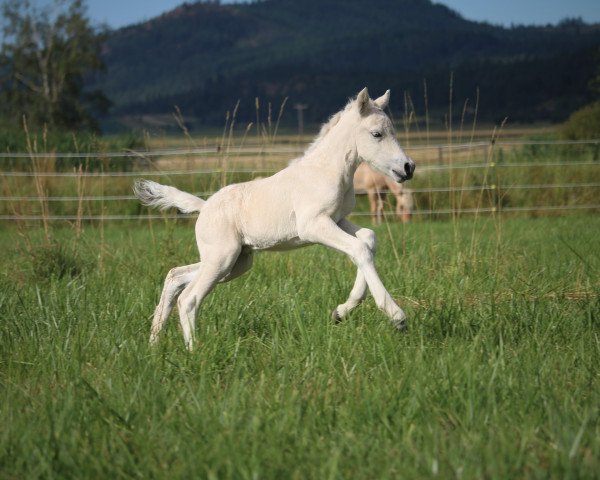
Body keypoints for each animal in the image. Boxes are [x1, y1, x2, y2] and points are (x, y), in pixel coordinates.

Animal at [136, 87, 414, 348]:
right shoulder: (313, 225)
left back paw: (154, 342)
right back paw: (194, 351)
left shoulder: (337, 220)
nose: (408, 167)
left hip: (236, 262)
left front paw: (340, 312)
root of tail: (203, 207)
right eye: (377, 134)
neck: (325, 171)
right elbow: (359, 249)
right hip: (222, 258)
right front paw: (396, 316)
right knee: (189, 298)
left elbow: (368, 238)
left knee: (175, 276)